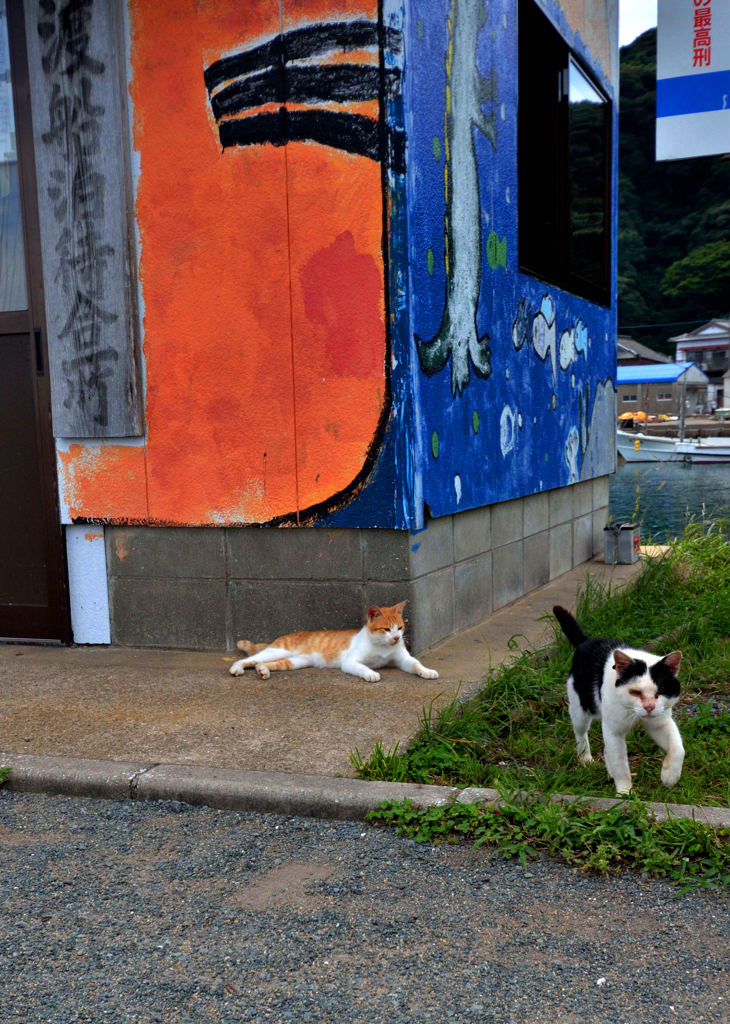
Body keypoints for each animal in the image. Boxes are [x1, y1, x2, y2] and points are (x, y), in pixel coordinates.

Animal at [227, 602, 436, 684]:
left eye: (399, 628)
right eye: (386, 629)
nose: (396, 638)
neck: (382, 647)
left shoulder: (403, 660)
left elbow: (416, 664)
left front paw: (427, 671)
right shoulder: (350, 662)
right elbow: (363, 667)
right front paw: (371, 674)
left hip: (295, 662)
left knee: (264, 663)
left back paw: (263, 671)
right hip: (278, 651)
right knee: (249, 659)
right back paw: (237, 668)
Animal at [552, 602, 683, 794]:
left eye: (660, 691)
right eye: (635, 692)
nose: (649, 707)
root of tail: (586, 641)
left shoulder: (659, 722)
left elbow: (678, 747)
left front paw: (670, 776)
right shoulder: (613, 731)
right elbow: (621, 764)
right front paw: (625, 793)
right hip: (580, 709)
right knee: (581, 734)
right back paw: (586, 759)